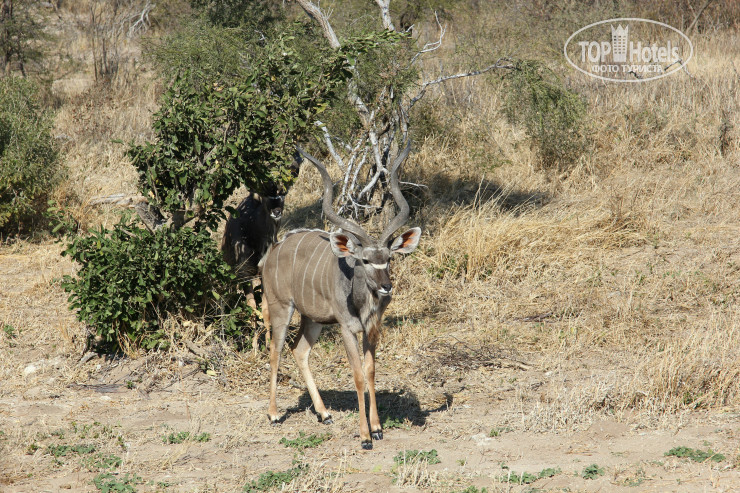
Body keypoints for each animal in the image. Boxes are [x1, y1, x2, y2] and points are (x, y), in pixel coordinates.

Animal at [264, 142, 420, 450]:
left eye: (388, 259)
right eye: (365, 260)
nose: (386, 287)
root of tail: (273, 251)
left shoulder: (372, 329)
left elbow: (370, 371)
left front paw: (377, 428)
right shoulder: (348, 329)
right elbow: (358, 375)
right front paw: (365, 436)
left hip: (313, 320)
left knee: (299, 350)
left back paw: (324, 414)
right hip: (282, 309)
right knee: (276, 351)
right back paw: (274, 415)